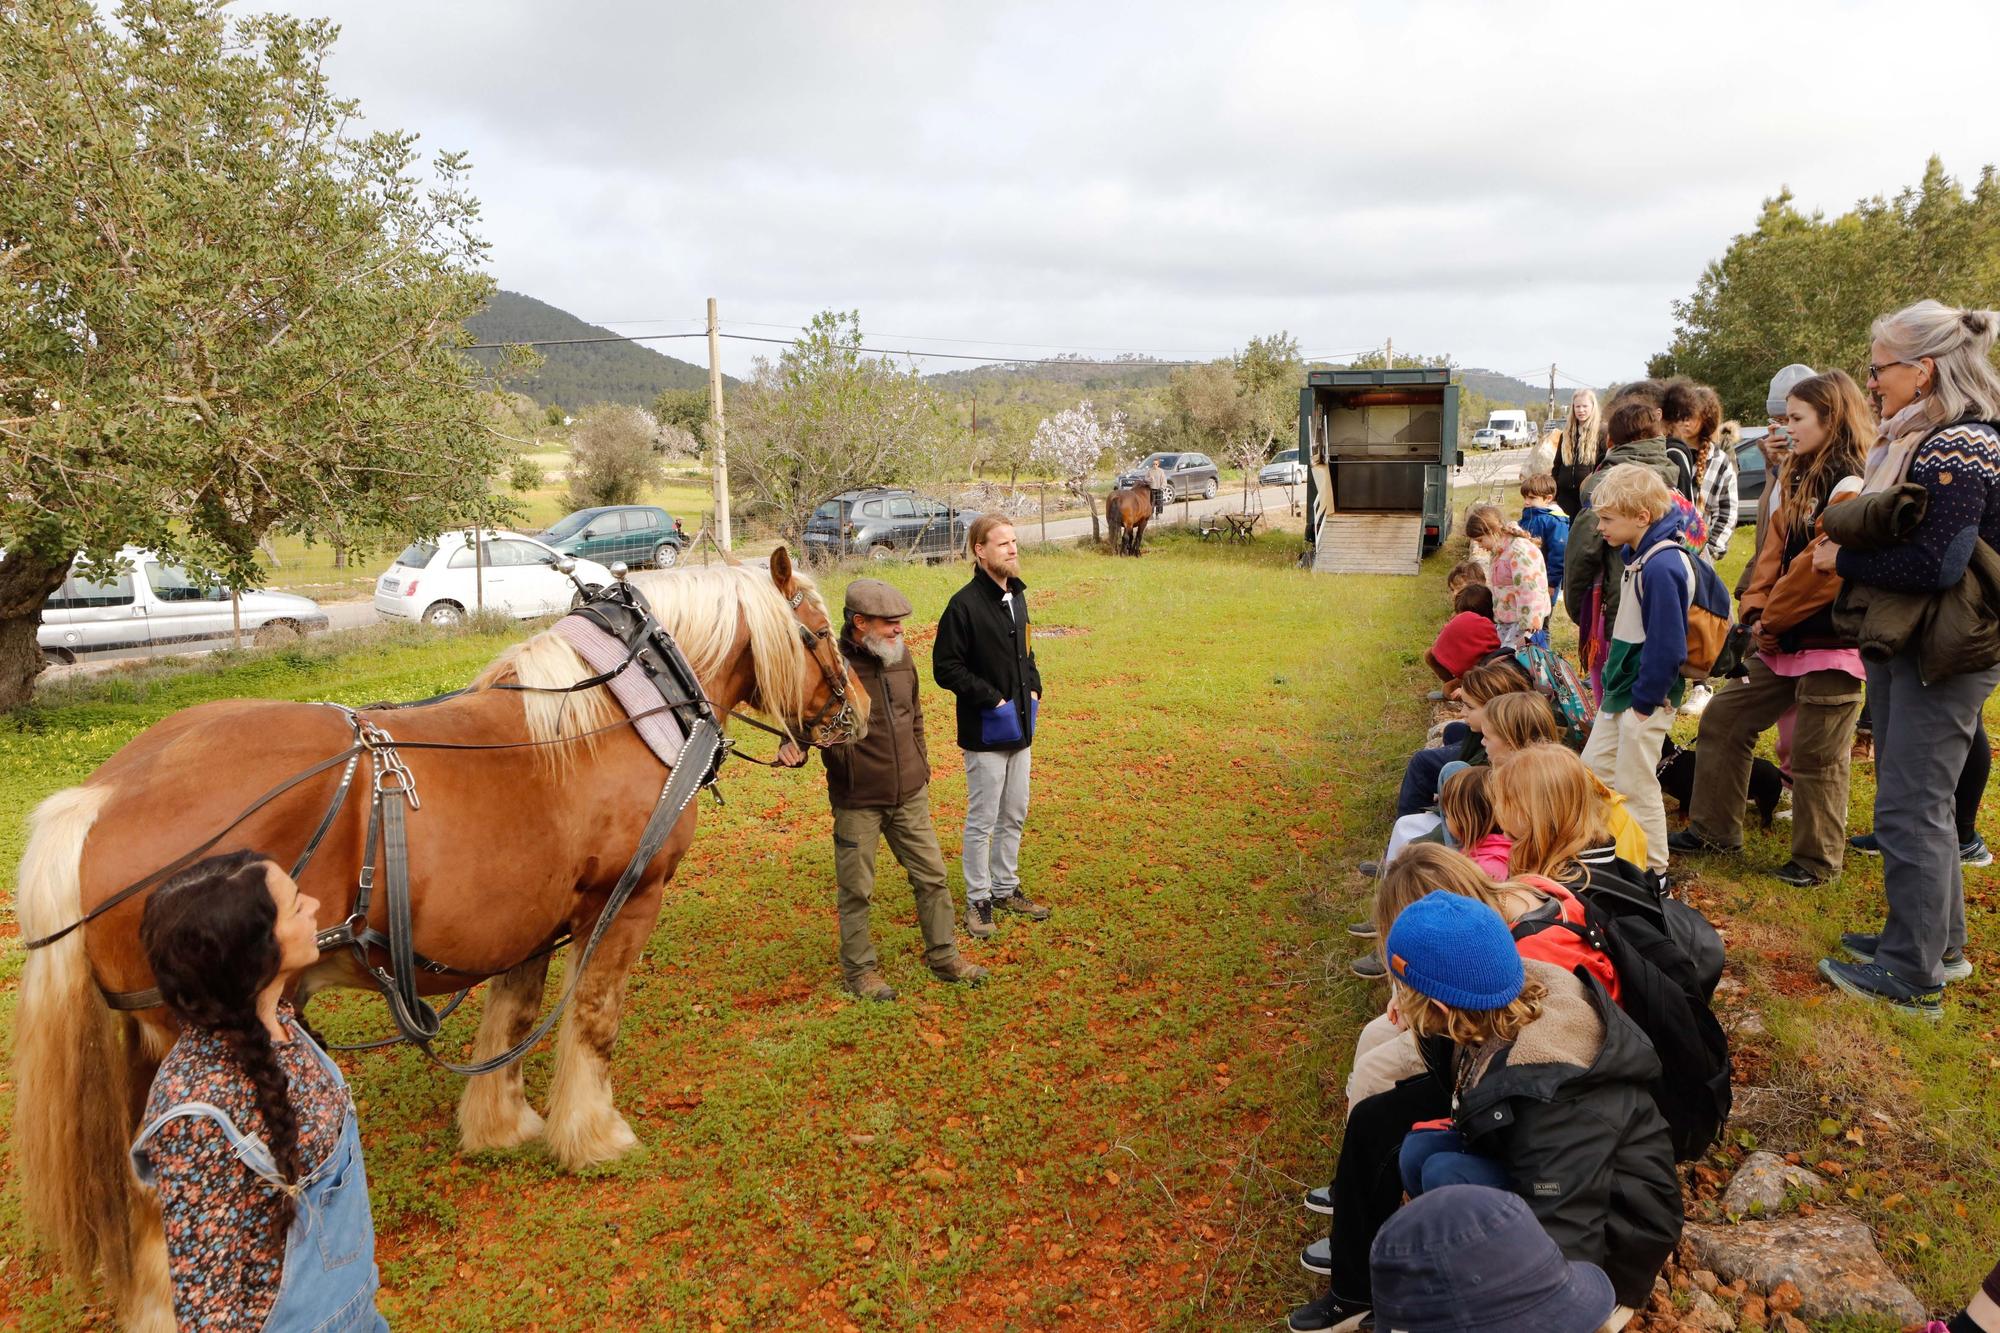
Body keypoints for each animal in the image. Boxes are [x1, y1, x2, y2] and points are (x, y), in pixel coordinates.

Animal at [7, 544, 868, 1328]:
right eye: (821, 631)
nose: (856, 708)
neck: (622, 714)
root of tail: (103, 794)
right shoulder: (623, 901)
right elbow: (593, 1022)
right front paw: (593, 1134)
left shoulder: (531, 918)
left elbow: (513, 1018)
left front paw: (501, 1124)